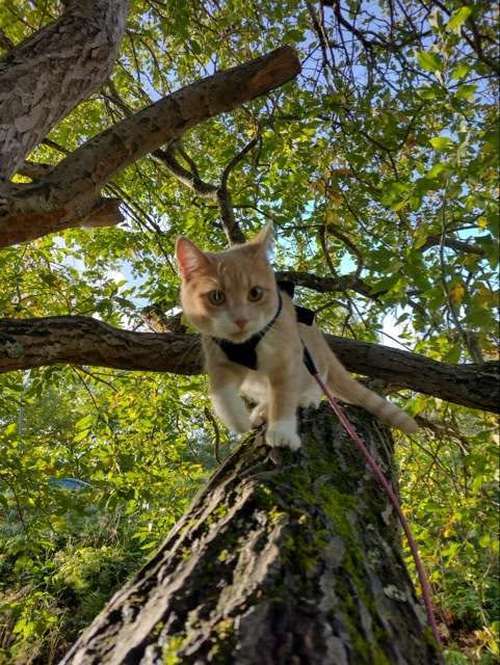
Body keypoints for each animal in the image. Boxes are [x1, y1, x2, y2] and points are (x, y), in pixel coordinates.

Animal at [175, 224, 418, 450]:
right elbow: (220, 393)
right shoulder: (219, 360)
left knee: (317, 379)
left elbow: (283, 397)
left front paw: (281, 432)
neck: (246, 344)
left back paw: (305, 398)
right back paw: (262, 410)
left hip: (312, 358)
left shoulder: (287, 358)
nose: (241, 319)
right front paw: (237, 419)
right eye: (216, 297)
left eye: (255, 293)